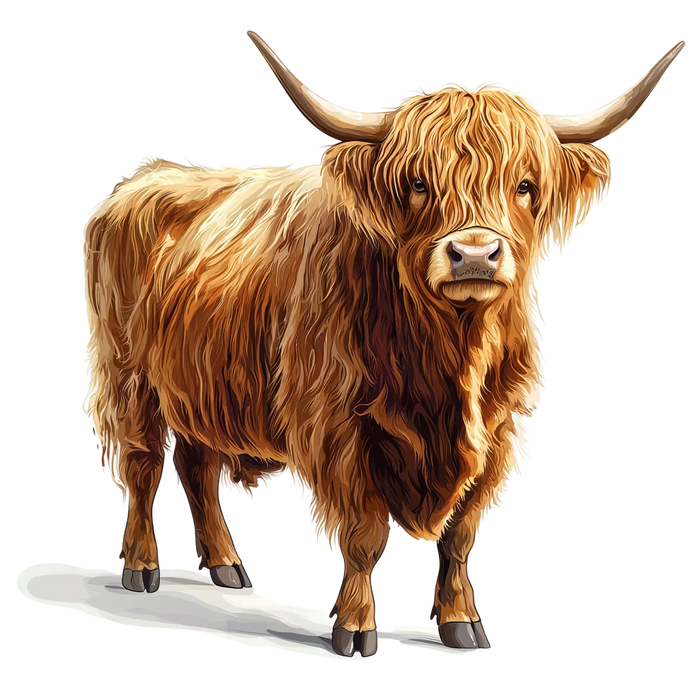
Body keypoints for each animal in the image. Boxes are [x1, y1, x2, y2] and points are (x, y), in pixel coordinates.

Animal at [80, 29, 687, 658]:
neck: (448, 359)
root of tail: (146, 178)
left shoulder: (499, 434)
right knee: (143, 465)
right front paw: (355, 627)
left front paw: (461, 624)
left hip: (201, 384)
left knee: (197, 465)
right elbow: (365, 535)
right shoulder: (339, 429)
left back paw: (227, 566)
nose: (474, 254)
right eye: (418, 183)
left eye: (524, 186)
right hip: (128, 375)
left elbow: (461, 536)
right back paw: (141, 567)